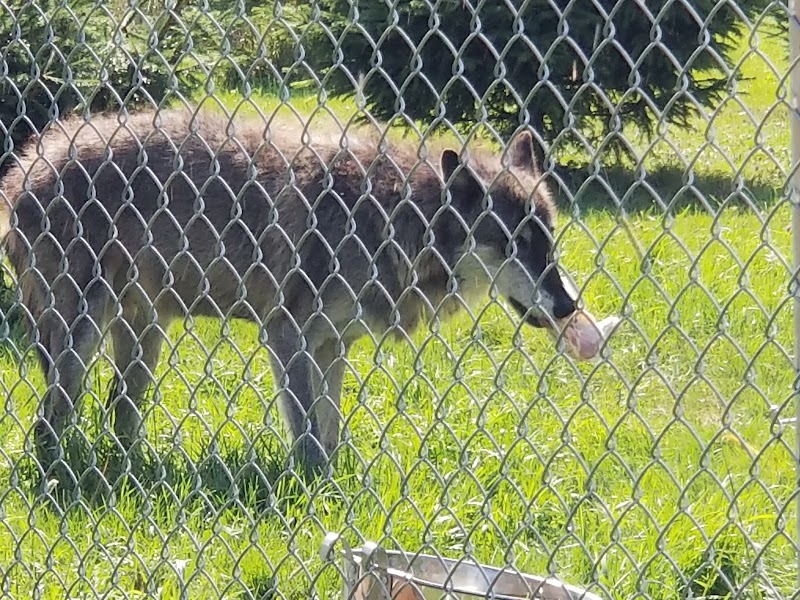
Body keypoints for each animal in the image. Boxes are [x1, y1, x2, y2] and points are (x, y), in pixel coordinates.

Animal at [0, 107, 585, 476]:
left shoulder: (333, 346)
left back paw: (132, 470)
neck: (393, 220)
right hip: (80, 339)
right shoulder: (286, 337)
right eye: (513, 242)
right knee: (49, 424)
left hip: (144, 336)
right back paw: (67, 477)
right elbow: (306, 435)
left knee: (118, 412)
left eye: (549, 237)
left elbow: (330, 427)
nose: (569, 304)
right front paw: (316, 489)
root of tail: (25, 169)